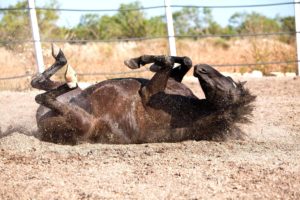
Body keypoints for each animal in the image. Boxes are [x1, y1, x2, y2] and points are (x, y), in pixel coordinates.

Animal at [31, 44, 255, 145]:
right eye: (230, 79)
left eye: (229, 87)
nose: (203, 69)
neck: (193, 111)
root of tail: (40, 127)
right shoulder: (173, 81)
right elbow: (182, 60)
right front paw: (142, 61)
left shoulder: (148, 92)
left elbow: (167, 61)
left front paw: (139, 61)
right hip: (75, 97)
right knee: (37, 83)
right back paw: (60, 59)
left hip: (81, 121)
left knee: (43, 95)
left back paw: (68, 74)